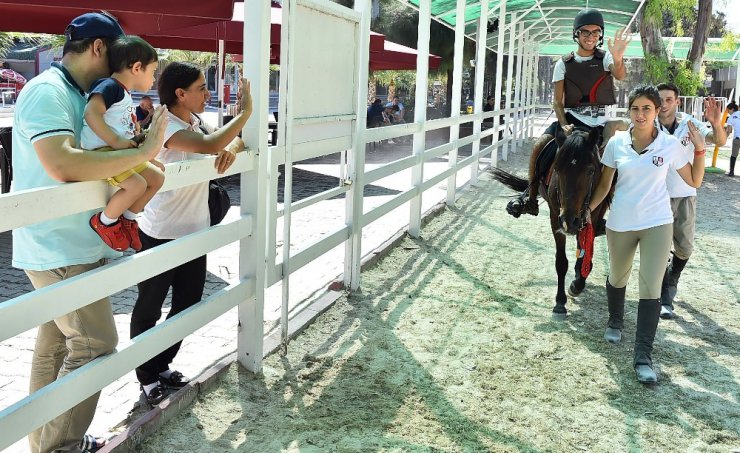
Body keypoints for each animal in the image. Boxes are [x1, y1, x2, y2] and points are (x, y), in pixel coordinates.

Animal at [492, 127, 612, 318]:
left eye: (590, 171)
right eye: (557, 169)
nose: (569, 221)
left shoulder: (590, 216)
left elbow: (586, 251)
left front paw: (578, 282)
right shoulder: (556, 218)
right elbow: (561, 262)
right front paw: (560, 302)